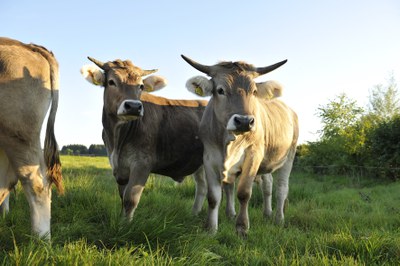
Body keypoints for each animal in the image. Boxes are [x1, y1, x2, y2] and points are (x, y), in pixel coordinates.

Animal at [79, 57, 208, 220]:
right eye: (111, 82)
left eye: (141, 86)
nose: (134, 106)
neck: (117, 140)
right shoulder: (118, 166)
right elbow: (122, 197)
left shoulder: (142, 163)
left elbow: (130, 199)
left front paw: (126, 224)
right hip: (199, 162)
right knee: (202, 187)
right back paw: (194, 214)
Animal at [183, 55, 298, 236]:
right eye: (220, 90)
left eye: (254, 92)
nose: (244, 121)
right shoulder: (209, 158)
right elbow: (214, 196)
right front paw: (211, 228)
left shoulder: (253, 155)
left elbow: (244, 193)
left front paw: (242, 228)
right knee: (267, 184)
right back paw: (266, 213)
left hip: (289, 156)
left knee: (281, 188)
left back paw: (279, 219)